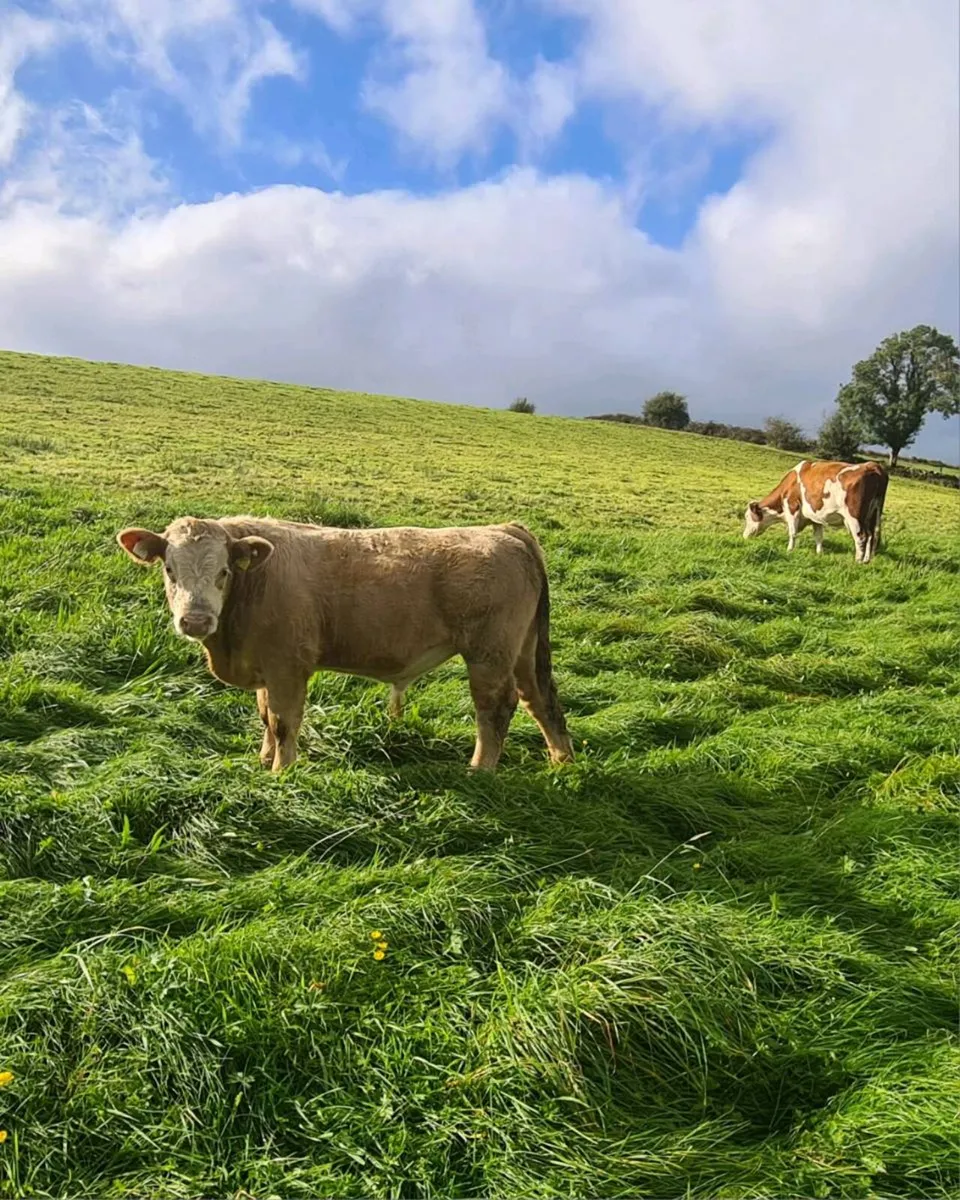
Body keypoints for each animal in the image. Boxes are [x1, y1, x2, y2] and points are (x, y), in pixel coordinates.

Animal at [116, 516, 574, 773]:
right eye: (170, 569)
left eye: (224, 572)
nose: (195, 619)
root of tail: (502, 530)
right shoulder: (266, 668)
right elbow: (265, 718)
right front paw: (264, 760)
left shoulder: (287, 668)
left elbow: (283, 722)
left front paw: (282, 772)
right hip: (523, 651)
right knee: (541, 700)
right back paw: (561, 761)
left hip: (488, 654)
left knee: (495, 708)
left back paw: (480, 769)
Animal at [742, 460, 888, 563]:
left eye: (748, 517)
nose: (744, 536)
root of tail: (872, 465)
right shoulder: (815, 517)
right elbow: (818, 536)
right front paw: (819, 553)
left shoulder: (792, 507)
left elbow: (792, 533)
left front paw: (789, 550)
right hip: (872, 515)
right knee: (872, 535)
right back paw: (867, 560)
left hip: (854, 516)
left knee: (861, 537)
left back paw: (857, 561)